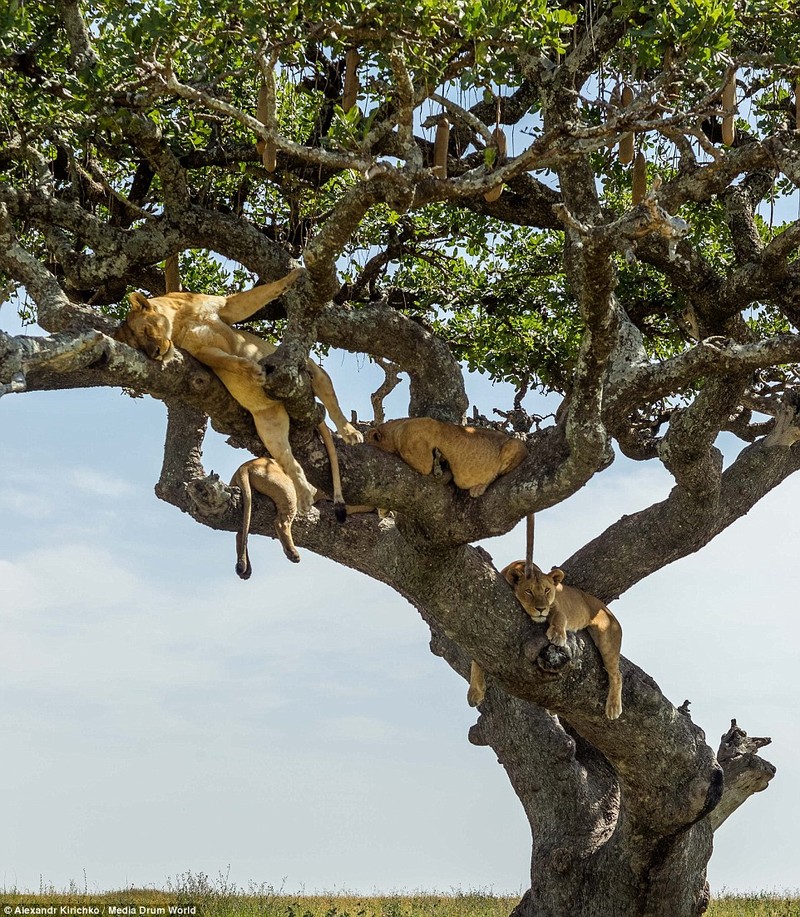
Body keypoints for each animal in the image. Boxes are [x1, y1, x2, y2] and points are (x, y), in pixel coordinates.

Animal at [366, 418, 528, 498]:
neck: (396, 428)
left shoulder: (419, 456)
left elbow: (423, 464)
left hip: (514, 445)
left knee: (497, 475)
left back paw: (478, 488)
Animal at [468, 560, 624, 720]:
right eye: (529, 591)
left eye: (547, 590)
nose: (541, 609)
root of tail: (607, 610)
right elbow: (476, 658)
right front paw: (475, 692)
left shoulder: (555, 605)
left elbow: (559, 616)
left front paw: (557, 635)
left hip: (607, 640)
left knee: (617, 674)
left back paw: (613, 707)